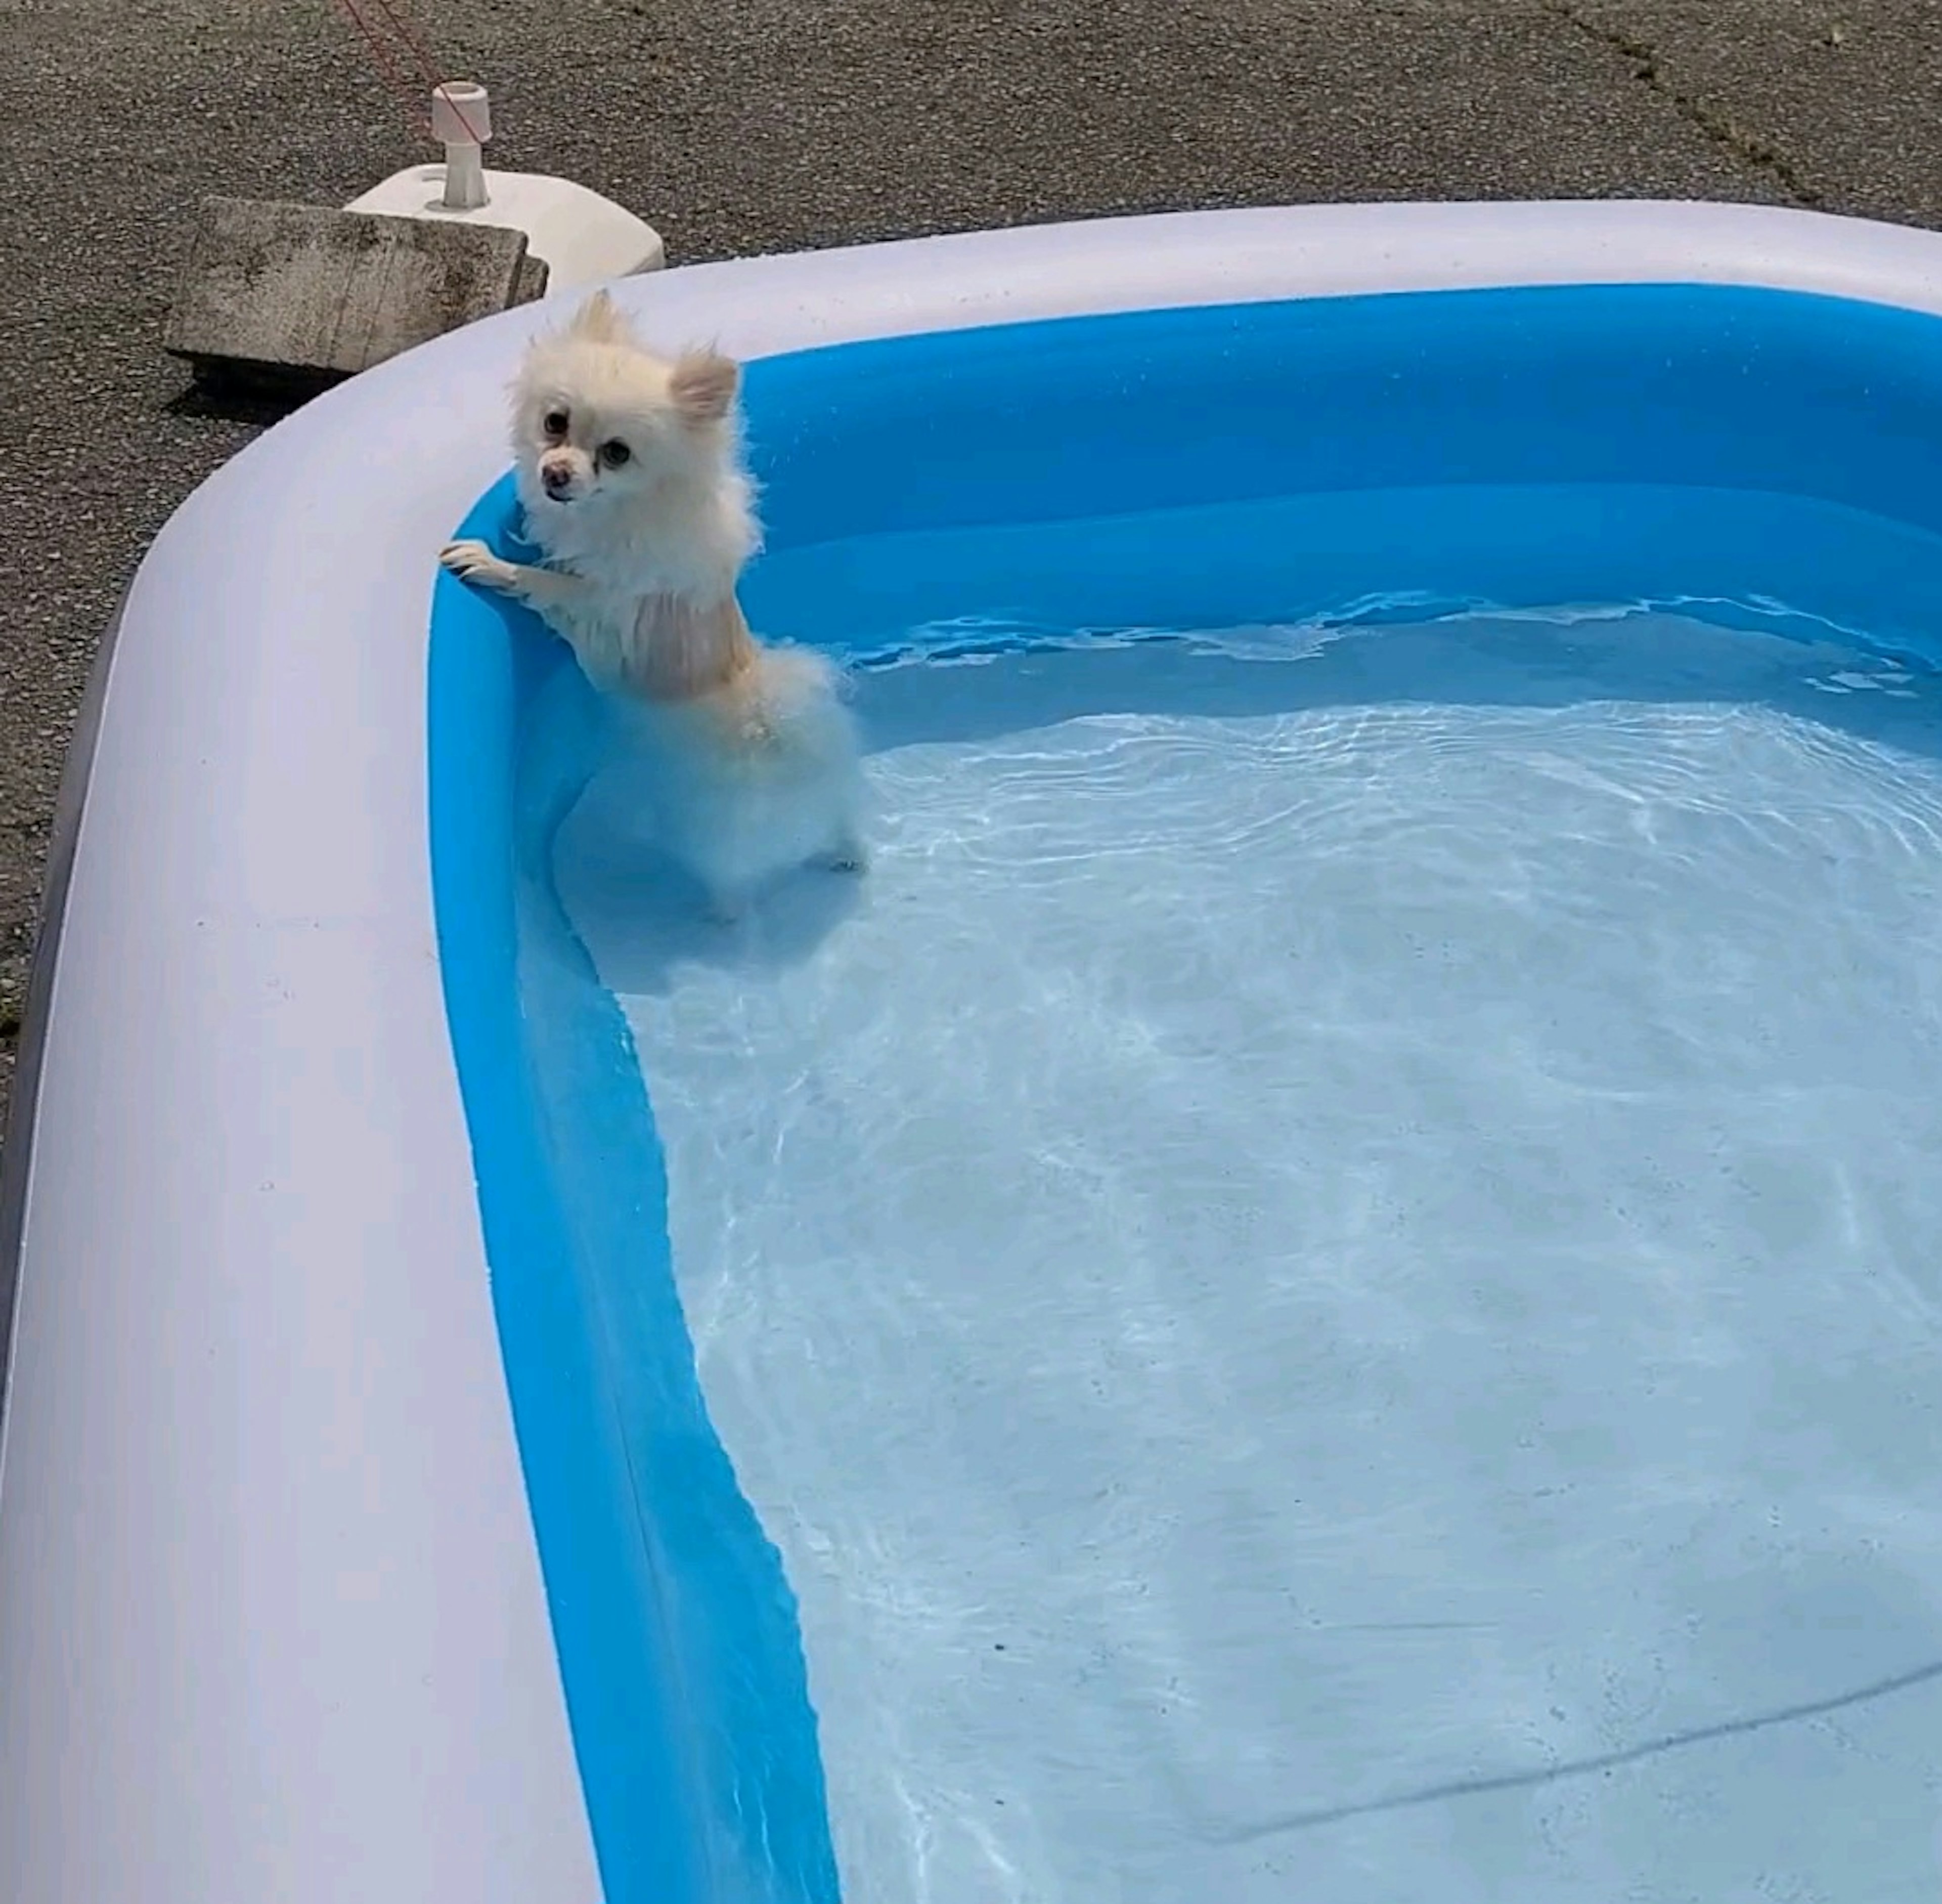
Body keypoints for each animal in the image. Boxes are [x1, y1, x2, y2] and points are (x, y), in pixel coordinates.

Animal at [445, 289, 870, 921]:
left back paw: (722, 913)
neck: (623, 508)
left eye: (617, 454)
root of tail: (777, 734)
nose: (555, 473)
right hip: (827, 803)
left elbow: (545, 584)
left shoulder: (601, 605)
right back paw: (848, 855)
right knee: (842, 827)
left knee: (731, 879)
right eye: (555, 422)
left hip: (712, 832)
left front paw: (488, 561)